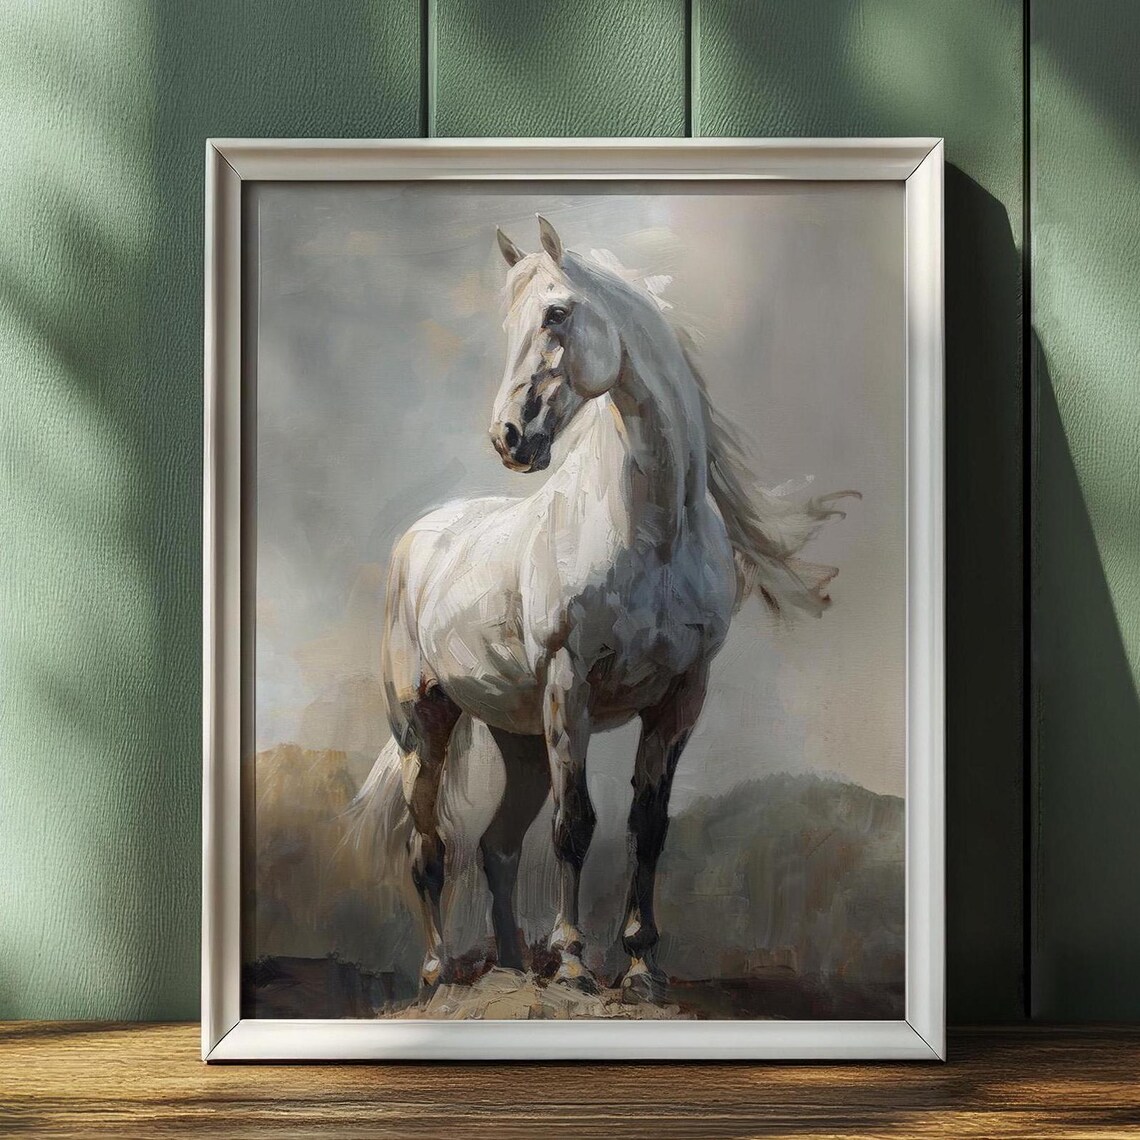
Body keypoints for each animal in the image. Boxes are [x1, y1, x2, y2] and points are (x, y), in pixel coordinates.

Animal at [354, 216, 855, 1004]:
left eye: (556, 314)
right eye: (510, 324)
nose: (509, 437)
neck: (653, 534)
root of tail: (420, 537)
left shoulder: (682, 695)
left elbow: (648, 825)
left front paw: (643, 964)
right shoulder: (572, 687)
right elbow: (576, 825)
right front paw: (573, 958)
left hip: (520, 740)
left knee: (496, 846)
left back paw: (512, 964)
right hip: (423, 727)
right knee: (427, 846)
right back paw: (441, 971)